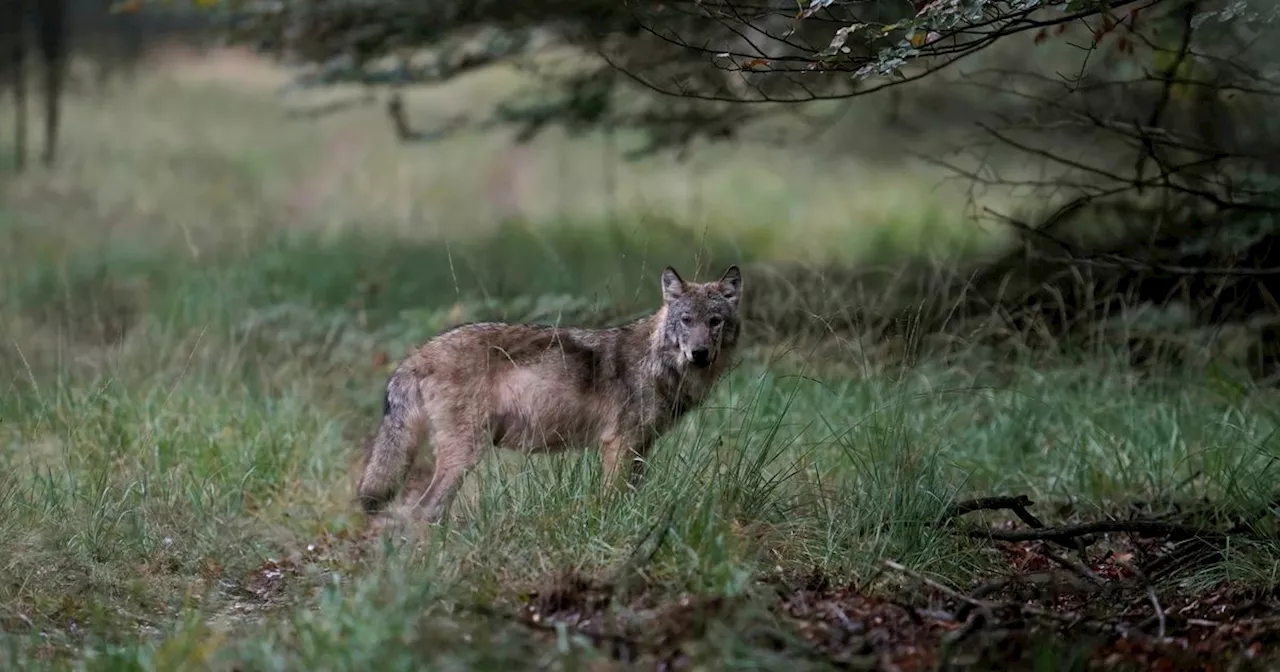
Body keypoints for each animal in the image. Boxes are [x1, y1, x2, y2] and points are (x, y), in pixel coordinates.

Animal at [355, 263, 747, 524]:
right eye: (686, 320)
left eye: (715, 321)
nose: (699, 353)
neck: (658, 363)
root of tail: (417, 353)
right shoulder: (618, 445)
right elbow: (612, 500)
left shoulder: (640, 448)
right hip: (465, 454)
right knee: (422, 512)